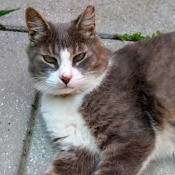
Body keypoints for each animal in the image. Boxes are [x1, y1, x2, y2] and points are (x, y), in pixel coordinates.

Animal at [25, 5, 175, 175]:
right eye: (49, 59)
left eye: (80, 56)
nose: (65, 78)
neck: (69, 100)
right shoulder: (75, 147)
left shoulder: (132, 138)